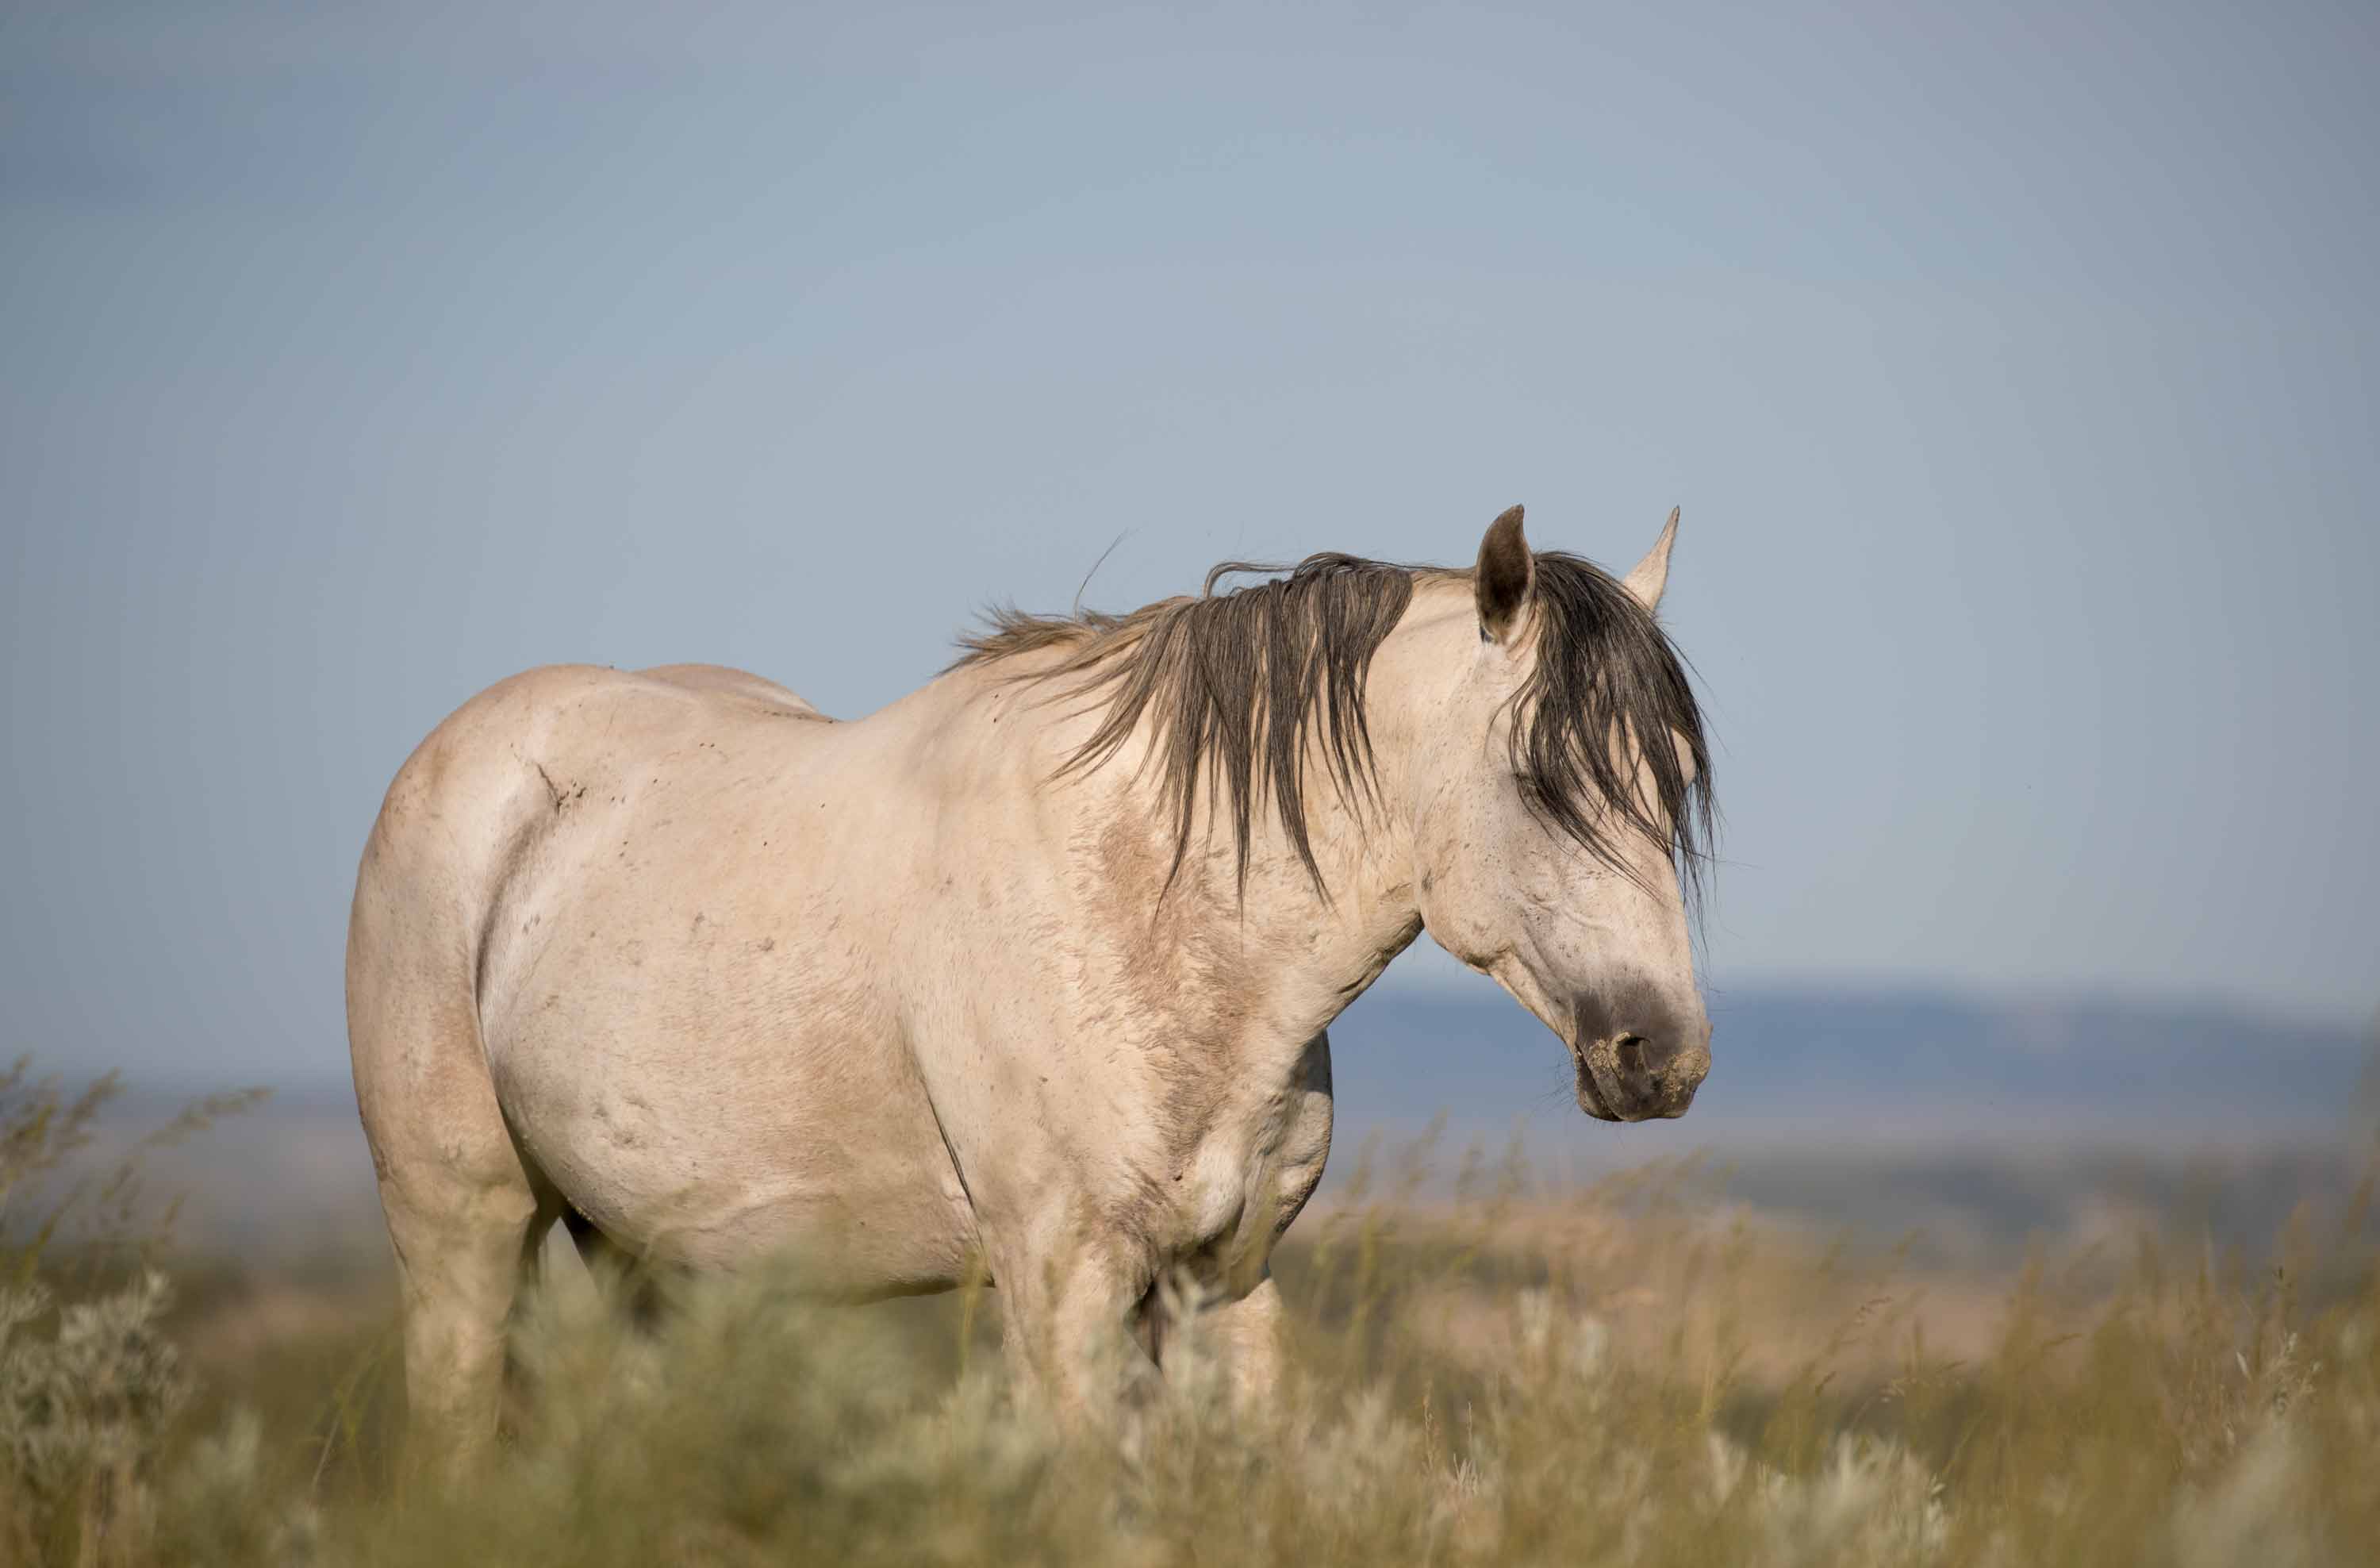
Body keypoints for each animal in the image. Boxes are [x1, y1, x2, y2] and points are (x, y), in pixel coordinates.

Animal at [345, 506, 1714, 1475]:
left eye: (1673, 779)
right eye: (1536, 778)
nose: (1663, 1059)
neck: (1154, 908)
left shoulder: (1226, 1281)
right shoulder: (1060, 1286)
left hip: (647, 1256)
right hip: (463, 1229)